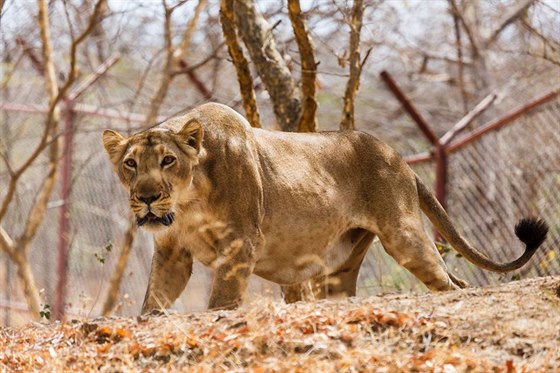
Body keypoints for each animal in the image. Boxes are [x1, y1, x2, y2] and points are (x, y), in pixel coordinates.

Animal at [103, 101, 548, 310]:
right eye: (130, 164)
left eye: (168, 160)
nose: (146, 198)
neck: (189, 201)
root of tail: (400, 158)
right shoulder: (173, 253)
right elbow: (152, 303)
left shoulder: (241, 243)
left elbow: (221, 302)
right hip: (340, 270)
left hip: (404, 236)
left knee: (452, 284)